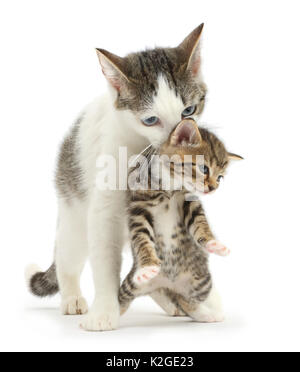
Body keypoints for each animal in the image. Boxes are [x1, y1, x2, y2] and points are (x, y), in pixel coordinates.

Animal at [25, 24, 220, 332]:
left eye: (188, 111)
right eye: (150, 120)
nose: (180, 139)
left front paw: (203, 299)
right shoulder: (104, 211)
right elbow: (105, 259)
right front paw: (105, 311)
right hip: (73, 210)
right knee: (67, 255)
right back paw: (72, 297)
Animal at [118, 120, 243, 322]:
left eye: (220, 177)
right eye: (204, 168)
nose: (213, 188)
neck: (170, 186)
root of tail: (165, 283)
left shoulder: (190, 203)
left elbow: (200, 225)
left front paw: (214, 244)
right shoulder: (139, 208)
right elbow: (142, 238)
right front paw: (147, 267)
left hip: (201, 282)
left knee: (186, 300)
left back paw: (207, 314)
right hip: (133, 285)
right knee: (123, 296)